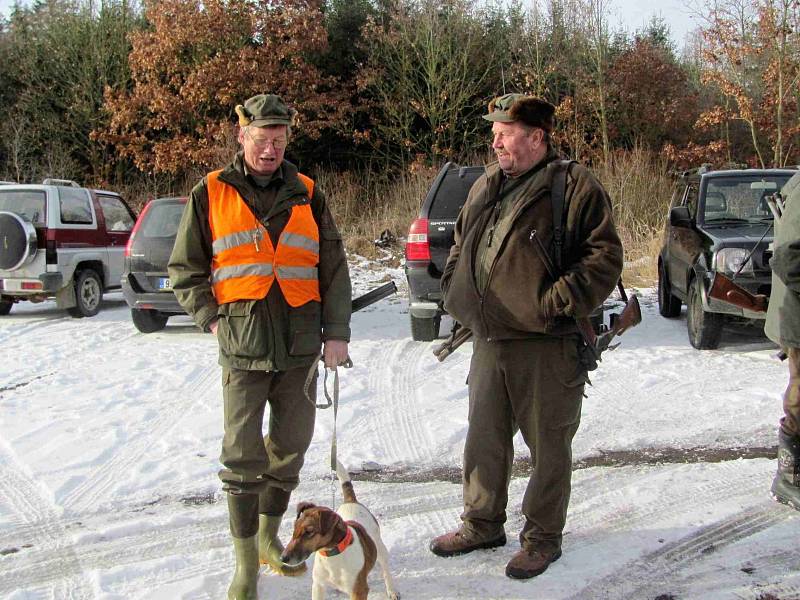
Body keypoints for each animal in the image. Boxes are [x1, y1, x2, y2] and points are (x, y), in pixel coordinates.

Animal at [282, 462, 400, 596]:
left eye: (309, 532)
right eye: (294, 528)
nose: (283, 558)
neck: (332, 554)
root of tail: (350, 501)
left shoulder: (359, 590)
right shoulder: (318, 585)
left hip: (379, 546)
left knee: (385, 569)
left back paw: (392, 591)